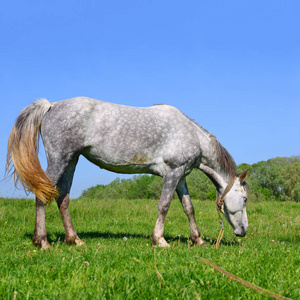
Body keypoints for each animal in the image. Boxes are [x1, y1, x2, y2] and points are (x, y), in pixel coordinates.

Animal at [6, 97, 248, 250]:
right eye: (245, 199)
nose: (244, 231)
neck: (191, 134)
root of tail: (51, 106)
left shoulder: (180, 176)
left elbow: (189, 208)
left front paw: (198, 240)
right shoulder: (172, 173)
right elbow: (164, 205)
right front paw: (159, 240)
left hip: (71, 161)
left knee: (62, 198)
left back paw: (75, 240)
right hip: (59, 159)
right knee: (42, 195)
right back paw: (43, 242)